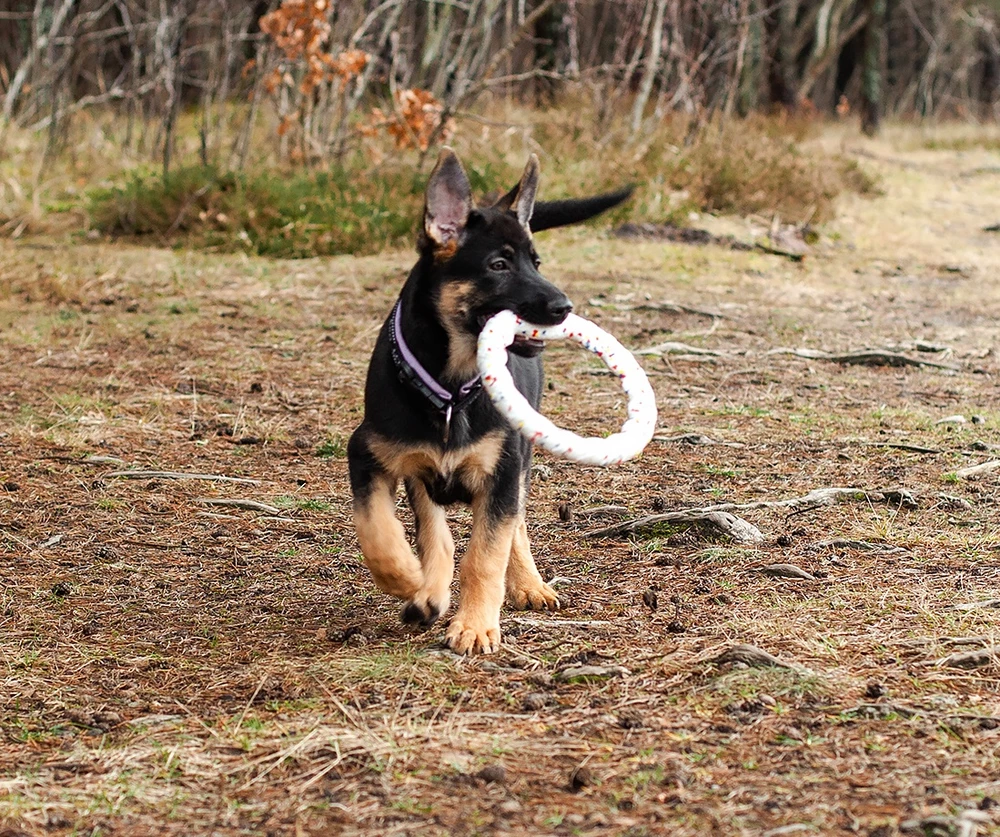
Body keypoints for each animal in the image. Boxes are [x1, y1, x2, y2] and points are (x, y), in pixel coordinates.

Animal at [348, 152, 628, 660]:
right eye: (498, 264)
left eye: (536, 262)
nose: (564, 306)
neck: (451, 389)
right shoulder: (367, 452)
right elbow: (378, 527)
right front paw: (407, 579)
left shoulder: (502, 471)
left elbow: (485, 554)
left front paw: (476, 625)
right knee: (434, 527)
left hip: (521, 459)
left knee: (514, 525)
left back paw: (529, 584)